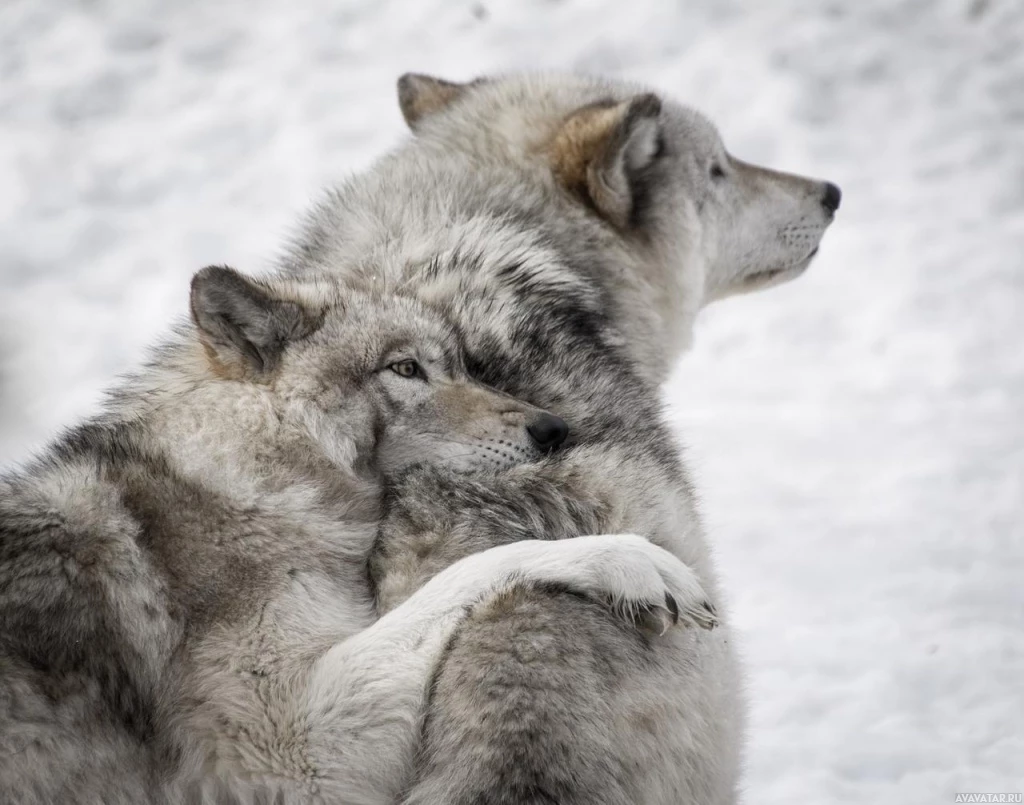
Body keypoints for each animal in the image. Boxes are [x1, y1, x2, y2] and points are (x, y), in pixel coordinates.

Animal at [0, 266, 712, 798]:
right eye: (405, 369)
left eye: (461, 364)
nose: (553, 429)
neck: (245, 477)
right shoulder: (292, 754)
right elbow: (483, 565)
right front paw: (632, 561)